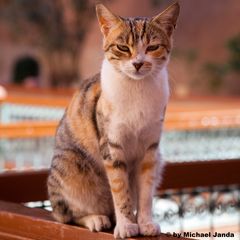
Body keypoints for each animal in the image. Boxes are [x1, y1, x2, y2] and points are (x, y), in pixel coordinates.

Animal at [47, 1, 180, 238]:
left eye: (152, 47)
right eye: (123, 48)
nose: (138, 63)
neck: (138, 88)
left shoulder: (150, 149)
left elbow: (145, 194)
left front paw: (144, 222)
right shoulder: (112, 145)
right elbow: (120, 190)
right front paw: (127, 225)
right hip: (70, 166)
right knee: (65, 214)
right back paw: (96, 219)